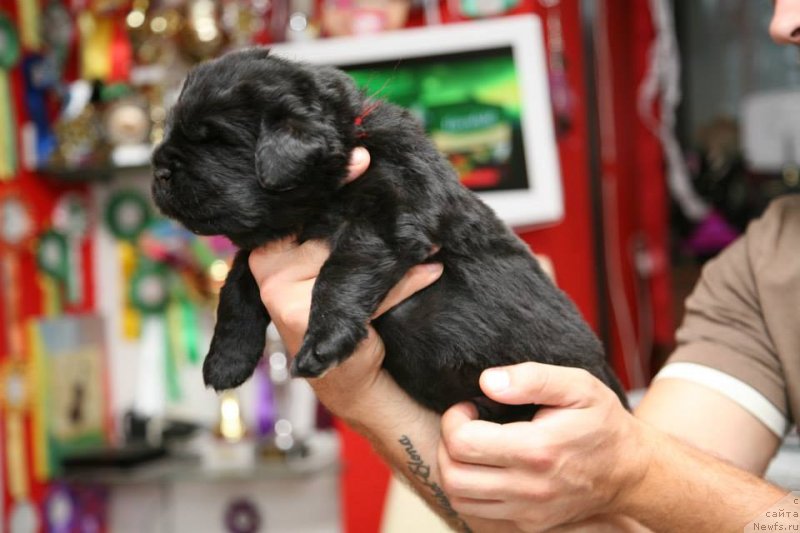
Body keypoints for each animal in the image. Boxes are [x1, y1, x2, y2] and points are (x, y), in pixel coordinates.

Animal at [148, 47, 624, 420]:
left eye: (215, 140)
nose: (159, 171)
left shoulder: (389, 215)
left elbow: (339, 274)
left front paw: (323, 344)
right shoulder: (267, 244)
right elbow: (236, 291)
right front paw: (225, 362)